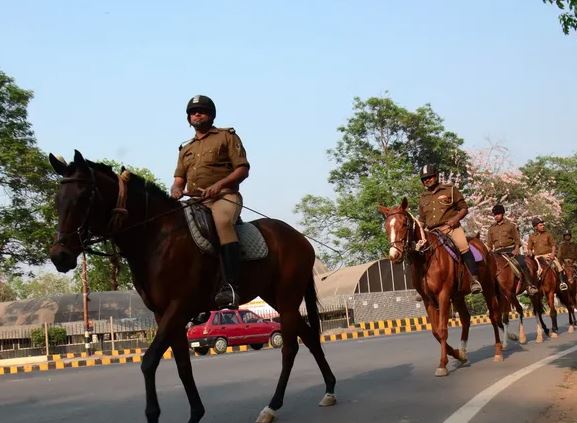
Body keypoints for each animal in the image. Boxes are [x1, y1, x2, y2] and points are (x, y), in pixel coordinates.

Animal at [49, 152, 338, 423]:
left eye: (84, 197)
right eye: (57, 200)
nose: (59, 256)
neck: (155, 237)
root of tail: (300, 239)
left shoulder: (178, 307)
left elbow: (149, 361)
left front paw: (153, 414)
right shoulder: (164, 314)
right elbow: (182, 365)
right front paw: (196, 413)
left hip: (287, 299)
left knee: (290, 349)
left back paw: (273, 405)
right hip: (277, 298)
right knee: (310, 337)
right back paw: (329, 389)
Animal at [376, 197, 502, 376]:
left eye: (404, 224)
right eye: (387, 227)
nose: (395, 255)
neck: (425, 258)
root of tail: (481, 243)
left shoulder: (443, 295)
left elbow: (442, 330)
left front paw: (442, 364)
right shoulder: (428, 299)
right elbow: (435, 332)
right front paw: (456, 354)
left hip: (488, 287)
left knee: (494, 316)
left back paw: (498, 351)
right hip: (458, 296)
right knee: (466, 319)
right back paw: (463, 353)